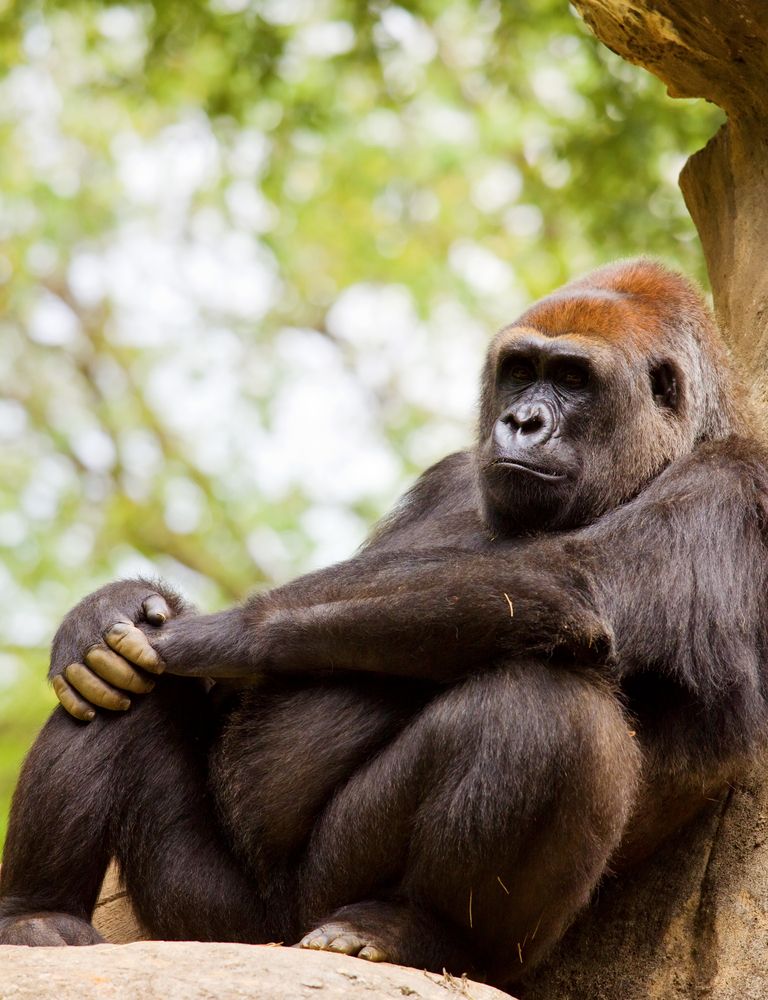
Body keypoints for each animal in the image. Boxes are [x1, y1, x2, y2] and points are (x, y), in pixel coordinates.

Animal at [2, 260, 767, 989]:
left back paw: (420, 932)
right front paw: (113, 607)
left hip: (302, 908)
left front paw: (205, 631)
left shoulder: (739, 485)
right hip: (207, 916)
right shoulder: (449, 475)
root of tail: (267, 938)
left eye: (574, 380)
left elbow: (571, 587)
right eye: (522, 370)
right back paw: (37, 914)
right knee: (122, 694)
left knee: (548, 706)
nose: (521, 422)